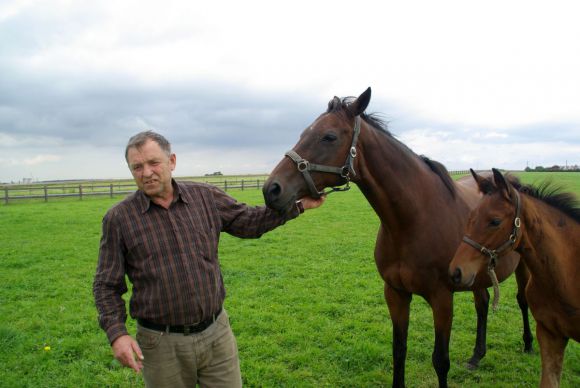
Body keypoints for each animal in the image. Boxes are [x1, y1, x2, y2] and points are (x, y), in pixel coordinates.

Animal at [260, 88, 532, 388]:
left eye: (329, 136)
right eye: (303, 133)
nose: (271, 189)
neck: (412, 221)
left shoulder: (442, 298)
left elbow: (441, 360)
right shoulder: (395, 293)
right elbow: (399, 349)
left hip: (523, 269)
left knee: (522, 300)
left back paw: (529, 344)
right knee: (482, 304)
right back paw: (476, 356)